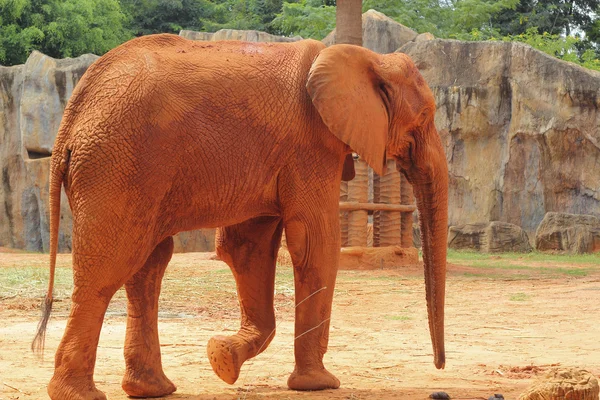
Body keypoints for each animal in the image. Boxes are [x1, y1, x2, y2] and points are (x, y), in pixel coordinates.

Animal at [31, 33, 446, 400]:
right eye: (426, 115)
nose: (440, 367)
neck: (367, 57)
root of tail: (71, 117)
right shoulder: (311, 146)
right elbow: (315, 244)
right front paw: (320, 384)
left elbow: (248, 246)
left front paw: (222, 359)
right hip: (119, 163)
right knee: (109, 270)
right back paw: (80, 394)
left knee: (148, 265)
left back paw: (151, 389)